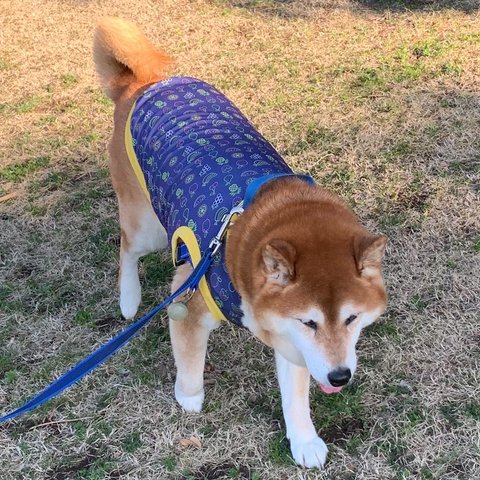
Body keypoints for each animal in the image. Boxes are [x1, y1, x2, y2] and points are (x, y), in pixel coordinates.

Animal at [93, 18, 386, 468]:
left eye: (352, 318)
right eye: (311, 322)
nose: (340, 377)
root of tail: (145, 82)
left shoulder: (289, 338)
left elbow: (296, 393)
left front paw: (304, 440)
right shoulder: (190, 297)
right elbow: (189, 355)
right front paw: (189, 397)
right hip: (150, 228)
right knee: (127, 245)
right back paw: (128, 299)